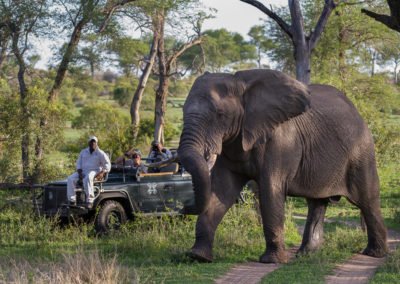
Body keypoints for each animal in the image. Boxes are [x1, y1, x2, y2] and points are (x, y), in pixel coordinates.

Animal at [177, 69, 388, 264]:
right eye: (183, 111)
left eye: (220, 115)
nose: (183, 207)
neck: (241, 84)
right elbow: (222, 191)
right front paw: (198, 256)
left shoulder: (279, 141)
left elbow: (270, 191)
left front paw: (271, 261)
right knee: (317, 203)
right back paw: (305, 255)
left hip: (361, 151)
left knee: (367, 199)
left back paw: (375, 254)